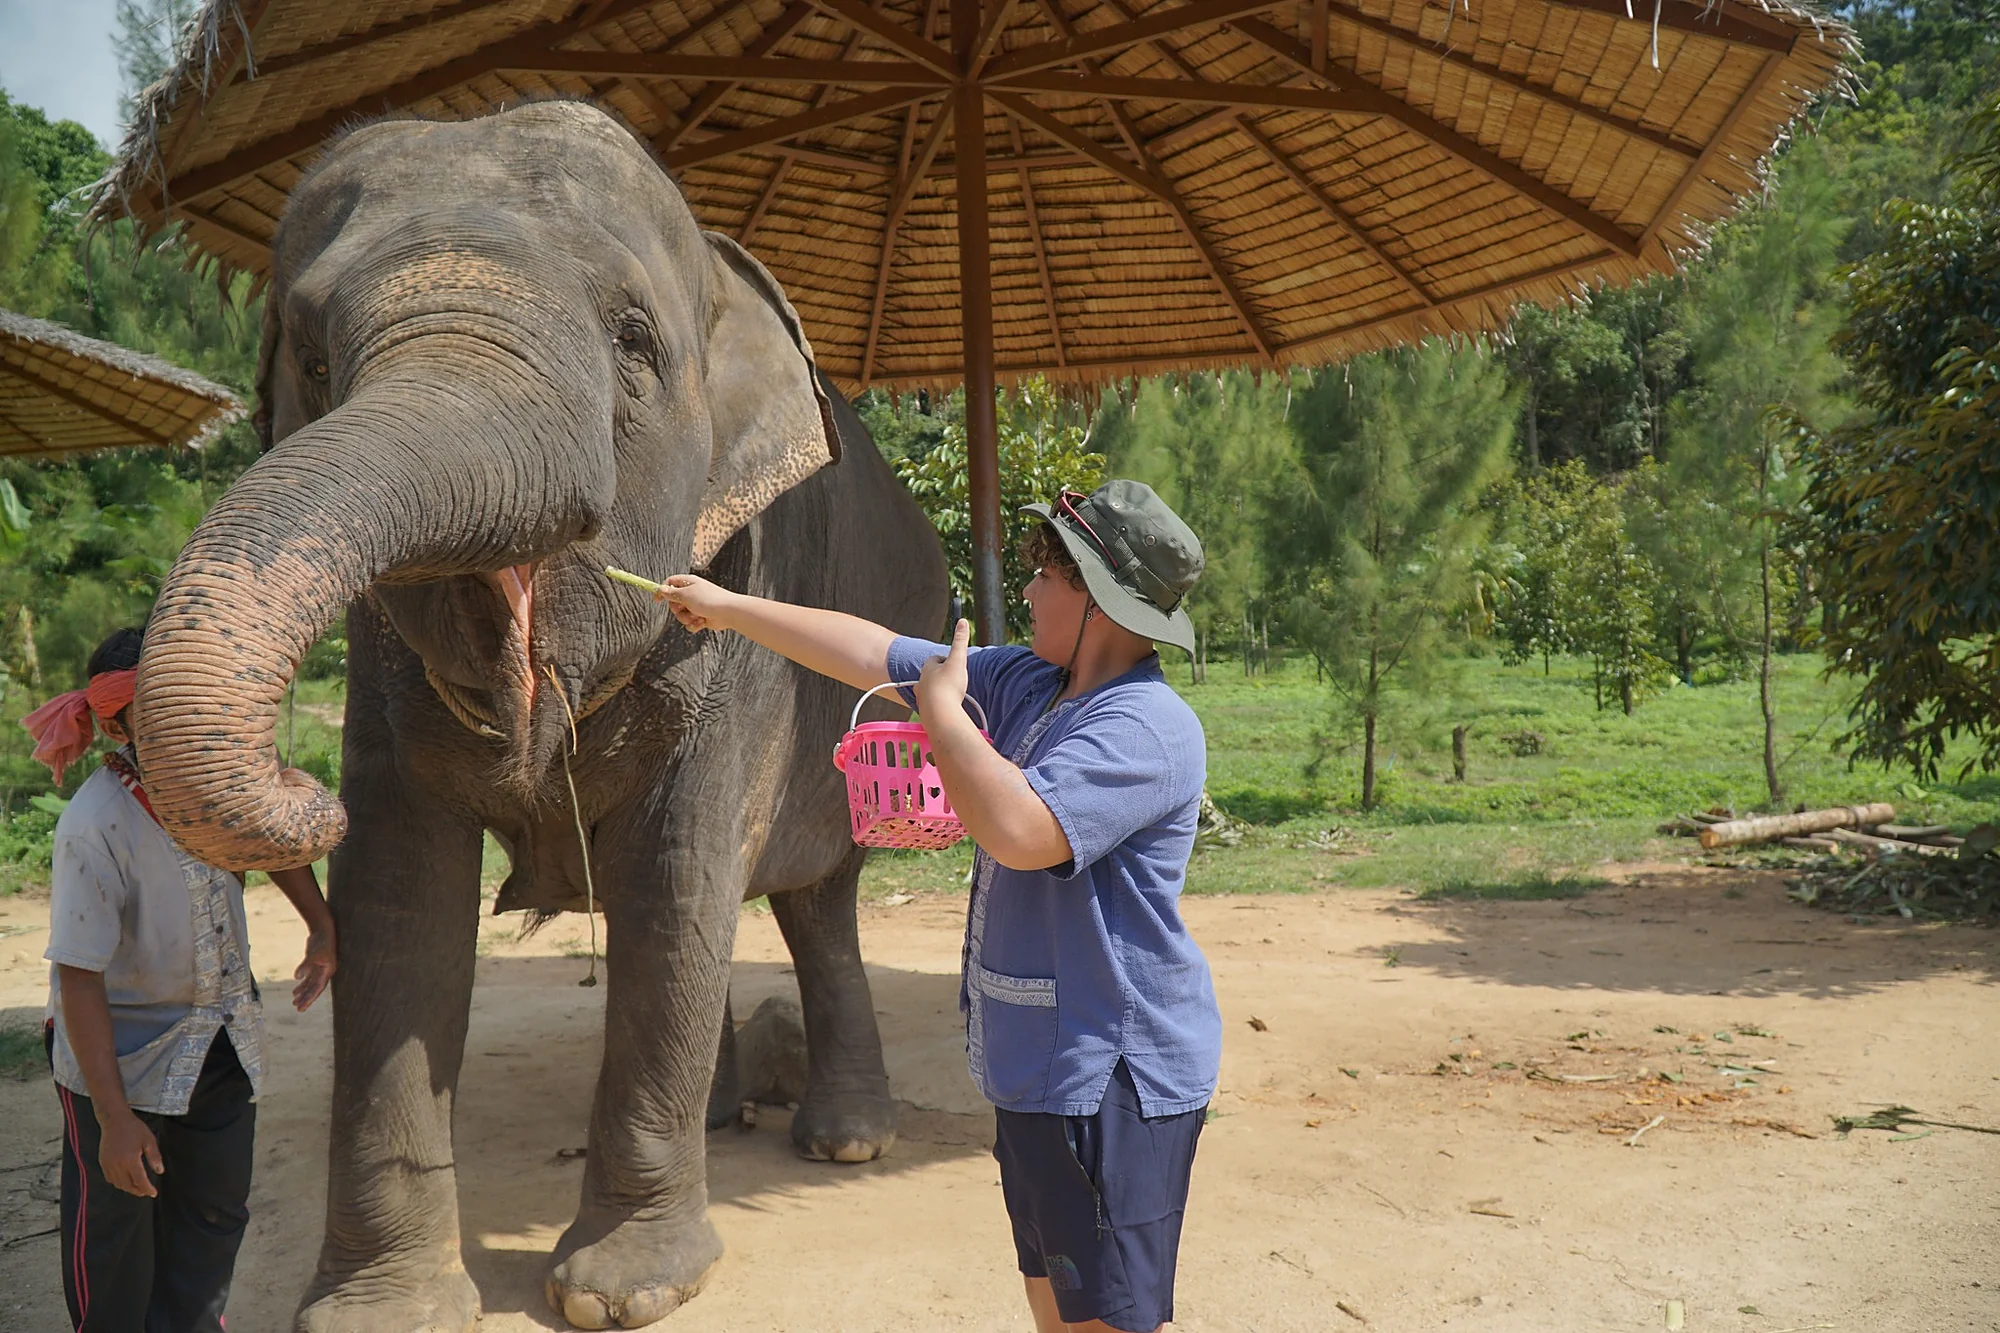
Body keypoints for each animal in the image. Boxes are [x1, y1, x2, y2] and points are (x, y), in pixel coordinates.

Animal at [130, 100, 948, 1330]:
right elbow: (398, 898)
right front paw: (380, 1311)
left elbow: (674, 875)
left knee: (817, 899)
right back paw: (725, 1118)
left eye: (634, 344)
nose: (296, 782)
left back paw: (846, 1143)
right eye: (313, 358)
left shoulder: (743, 622)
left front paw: (625, 1291)